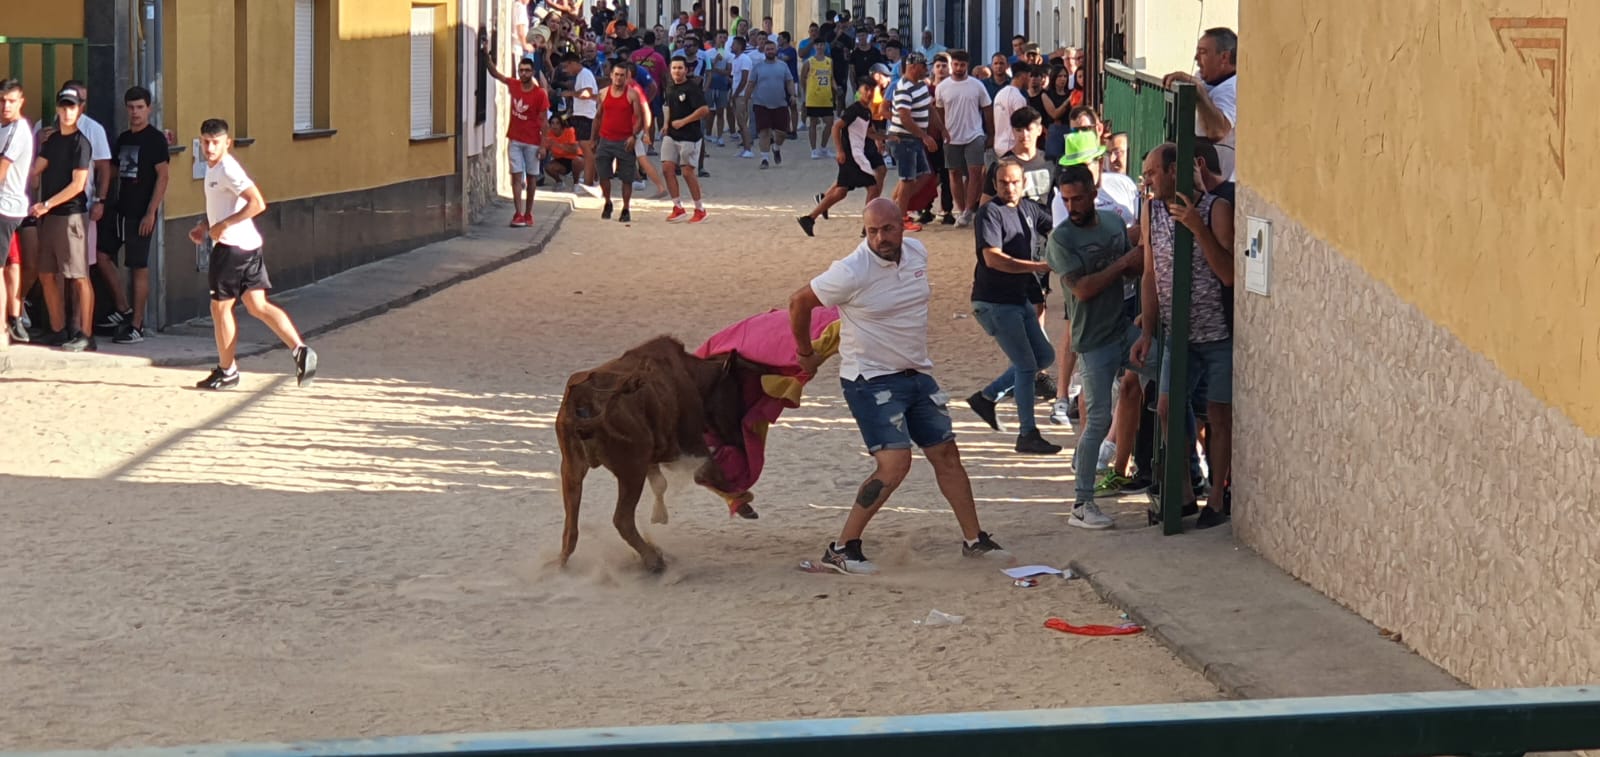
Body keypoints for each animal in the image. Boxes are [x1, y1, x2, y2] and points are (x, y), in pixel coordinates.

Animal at [556, 336, 768, 572]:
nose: (740, 440)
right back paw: (653, 559)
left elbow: (662, 482)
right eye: (737, 395)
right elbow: (709, 472)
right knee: (622, 519)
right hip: (632, 469)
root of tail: (584, 401)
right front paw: (744, 502)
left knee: (571, 526)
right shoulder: (691, 443)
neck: (690, 373)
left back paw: (561, 562)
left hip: (571, 468)